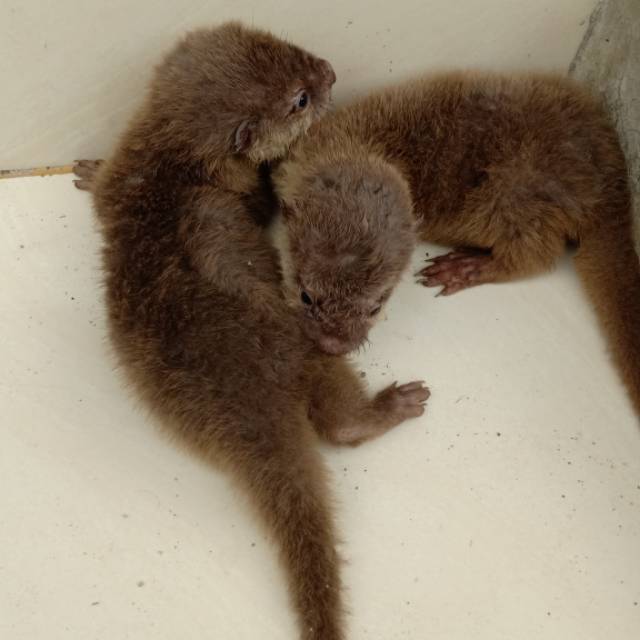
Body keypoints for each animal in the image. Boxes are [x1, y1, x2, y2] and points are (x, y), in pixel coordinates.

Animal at [73, 23, 429, 640]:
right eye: (301, 99)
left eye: (290, 46)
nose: (331, 70)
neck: (166, 162)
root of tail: (246, 397)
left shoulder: (121, 177)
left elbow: (99, 195)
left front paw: (88, 169)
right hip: (313, 356)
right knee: (342, 425)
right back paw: (395, 403)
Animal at [274, 71, 640, 415]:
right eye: (306, 296)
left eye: (376, 308)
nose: (333, 344)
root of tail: (610, 178)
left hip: (517, 193)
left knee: (535, 253)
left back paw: (466, 267)